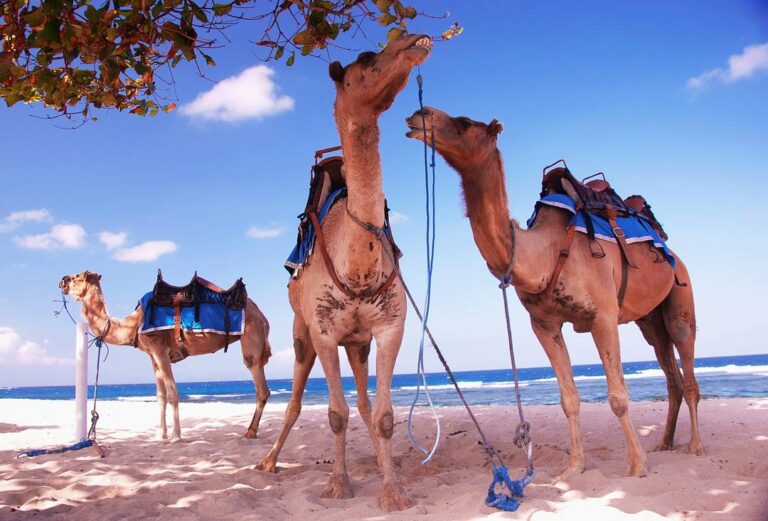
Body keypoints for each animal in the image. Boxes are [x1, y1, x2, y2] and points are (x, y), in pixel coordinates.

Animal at [59, 270, 272, 442]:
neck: (134, 325)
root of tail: (262, 315)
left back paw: (250, 432)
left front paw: (176, 436)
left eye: (79, 277)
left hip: (251, 339)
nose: (62, 280)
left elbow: (173, 394)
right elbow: (160, 396)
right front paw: (160, 435)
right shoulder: (153, 357)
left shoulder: (160, 351)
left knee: (260, 386)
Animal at [256, 34, 433, 511]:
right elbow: (335, 414)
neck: (356, 263)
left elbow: (385, 414)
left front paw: (394, 489)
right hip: (301, 334)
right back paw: (268, 461)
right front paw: (338, 485)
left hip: (358, 344)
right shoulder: (323, 330)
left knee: (366, 403)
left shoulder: (389, 326)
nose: (414, 40)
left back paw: (378, 459)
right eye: (368, 57)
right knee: (296, 401)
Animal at [404, 107, 703, 479]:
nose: (418, 115)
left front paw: (636, 466)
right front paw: (573, 467)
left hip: (680, 292)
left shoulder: (603, 315)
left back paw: (695, 446)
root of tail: (672, 252)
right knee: (669, 370)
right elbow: (568, 399)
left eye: (464, 122)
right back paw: (664, 443)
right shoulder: (544, 324)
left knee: (686, 362)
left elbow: (618, 396)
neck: (543, 254)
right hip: (649, 320)